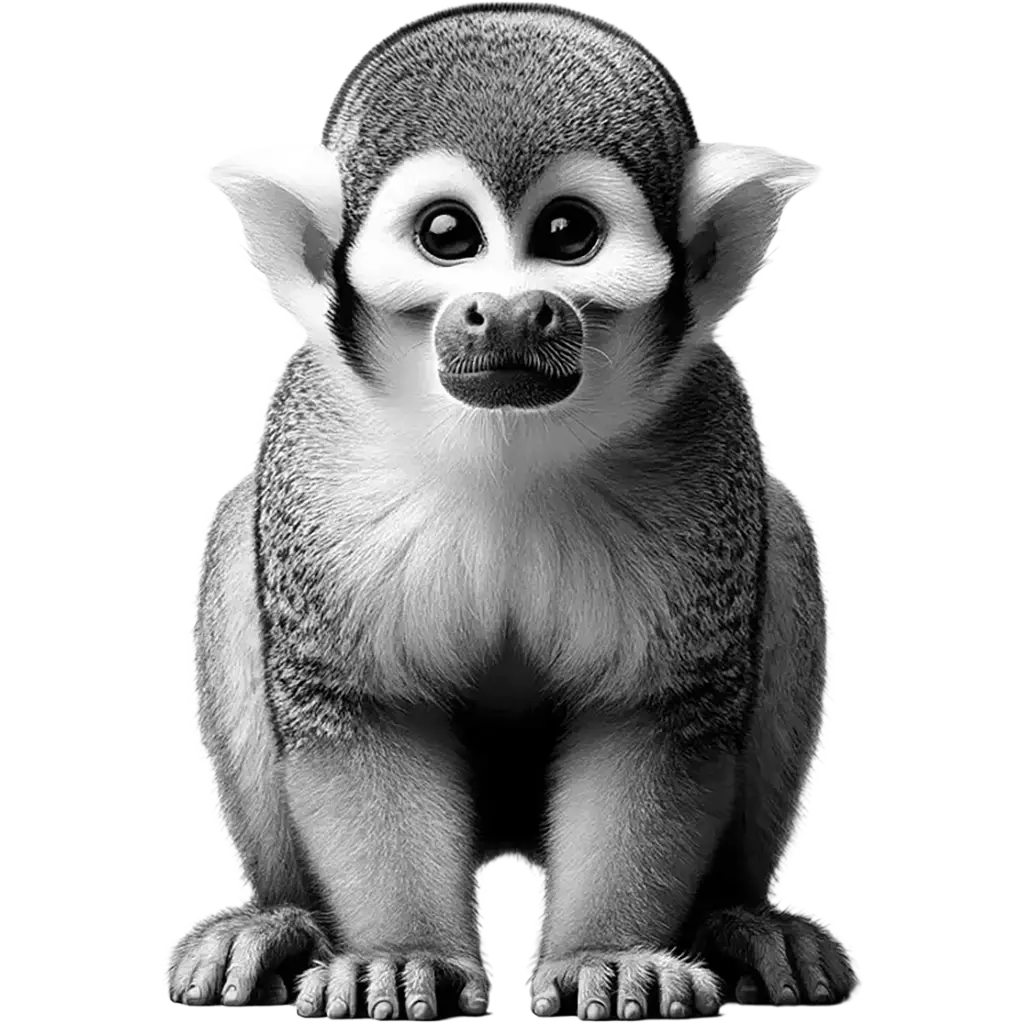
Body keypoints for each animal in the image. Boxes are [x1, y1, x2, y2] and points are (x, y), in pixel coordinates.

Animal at [165, 1, 865, 1018]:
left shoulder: (708, 447)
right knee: (234, 534)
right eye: (448, 234)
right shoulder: (320, 461)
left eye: (569, 233)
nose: (506, 311)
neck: (504, 450)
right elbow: (361, 714)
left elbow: (655, 719)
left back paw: (739, 921)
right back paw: (279, 920)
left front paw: (609, 954)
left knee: (787, 535)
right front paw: (403, 954)